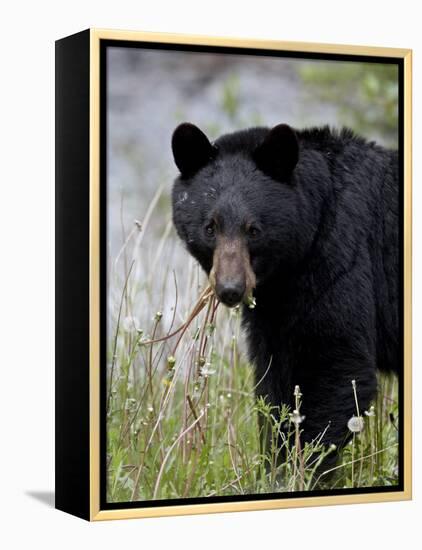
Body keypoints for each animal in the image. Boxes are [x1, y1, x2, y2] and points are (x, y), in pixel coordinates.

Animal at [170, 124, 398, 462]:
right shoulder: (275, 307)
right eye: (210, 227)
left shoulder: (341, 262)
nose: (230, 289)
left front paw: (304, 465)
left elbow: (336, 367)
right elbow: (275, 381)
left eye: (253, 230)